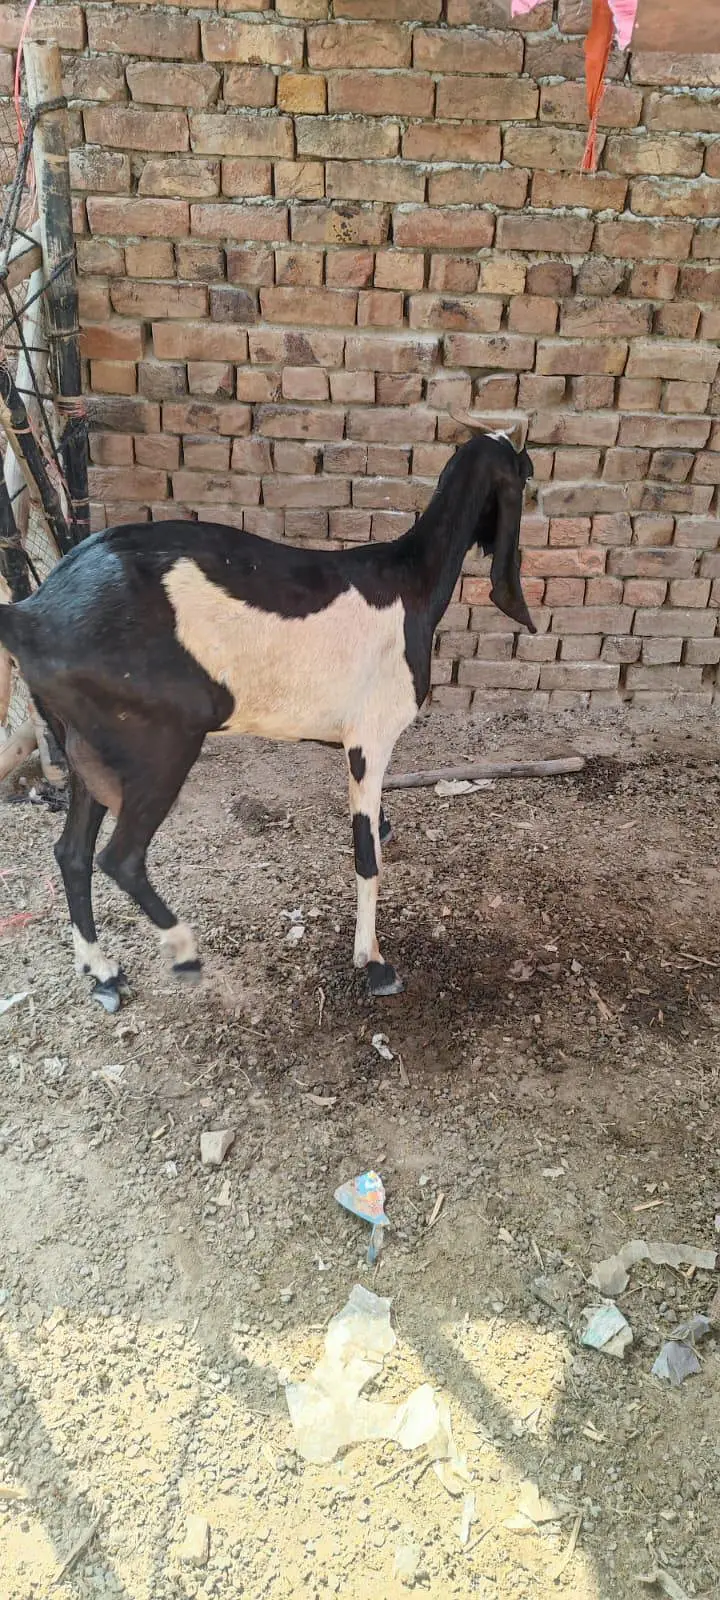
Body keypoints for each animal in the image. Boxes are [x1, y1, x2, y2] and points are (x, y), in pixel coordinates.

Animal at [0, 423, 534, 1012]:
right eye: (526, 471)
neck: (409, 582)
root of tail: (31, 615)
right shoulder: (369, 741)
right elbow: (366, 857)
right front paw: (373, 962)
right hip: (157, 744)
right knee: (119, 857)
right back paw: (183, 950)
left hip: (86, 746)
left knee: (71, 853)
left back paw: (102, 973)